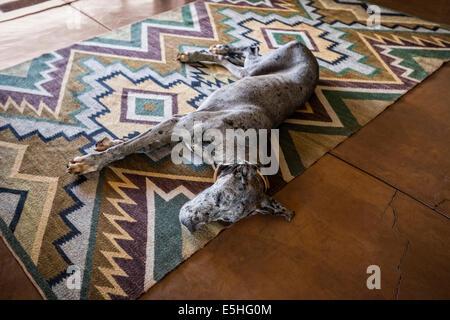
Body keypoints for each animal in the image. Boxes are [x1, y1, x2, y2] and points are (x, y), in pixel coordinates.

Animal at [67, 41, 320, 234]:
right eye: (219, 198)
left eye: (226, 220)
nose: (189, 225)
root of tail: (307, 50)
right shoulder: (176, 123)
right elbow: (128, 146)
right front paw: (91, 161)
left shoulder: (172, 129)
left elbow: (135, 144)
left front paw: (106, 146)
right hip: (253, 69)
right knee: (249, 50)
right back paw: (204, 53)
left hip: (249, 71)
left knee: (242, 54)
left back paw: (216, 50)